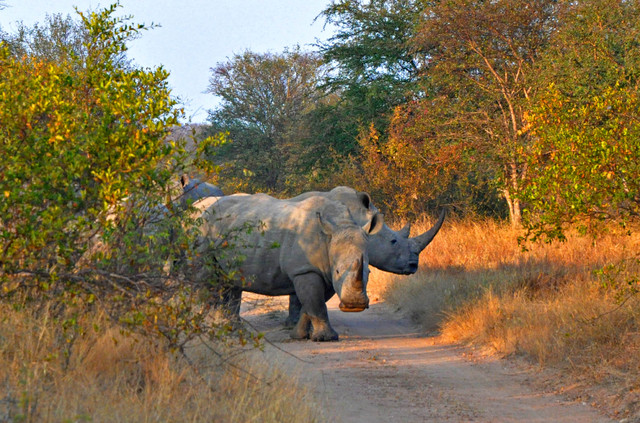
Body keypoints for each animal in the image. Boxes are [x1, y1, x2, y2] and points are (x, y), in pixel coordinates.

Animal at [198, 194, 382, 342]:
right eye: (338, 271)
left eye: (368, 273)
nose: (354, 305)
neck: (338, 226)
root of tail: (206, 211)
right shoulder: (306, 269)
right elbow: (316, 305)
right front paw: (326, 339)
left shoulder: (324, 272)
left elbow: (310, 305)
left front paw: (298, 336)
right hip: (206, 233)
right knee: (209, 281)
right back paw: (210, 331)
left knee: (230, 282)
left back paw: (231, 330)